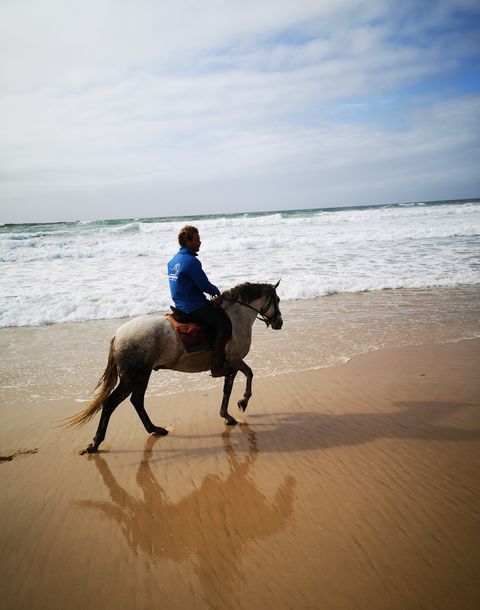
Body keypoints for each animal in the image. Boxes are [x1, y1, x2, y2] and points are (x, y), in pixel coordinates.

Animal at [63, 280, 282, 452]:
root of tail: (118, 335)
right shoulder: (233, 361)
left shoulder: (233, 363)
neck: (236, 316)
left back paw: (155, 429)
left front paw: (227, 414)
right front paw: (241, 403)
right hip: (132, 377)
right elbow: (246, 376)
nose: (279, 323)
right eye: (277, 301)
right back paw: (96, 443)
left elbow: (232, 385)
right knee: (111, 403)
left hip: (142, 375)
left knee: (137, 401)